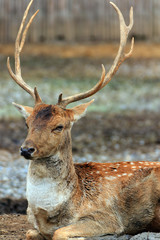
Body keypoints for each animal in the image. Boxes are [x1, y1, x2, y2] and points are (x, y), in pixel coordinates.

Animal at [6, 0, 160, 239]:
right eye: (27, 123)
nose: (26, 149)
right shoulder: (34, 225)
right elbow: (30, 233)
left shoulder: (107, 217)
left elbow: (61, 233)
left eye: (59, 126)